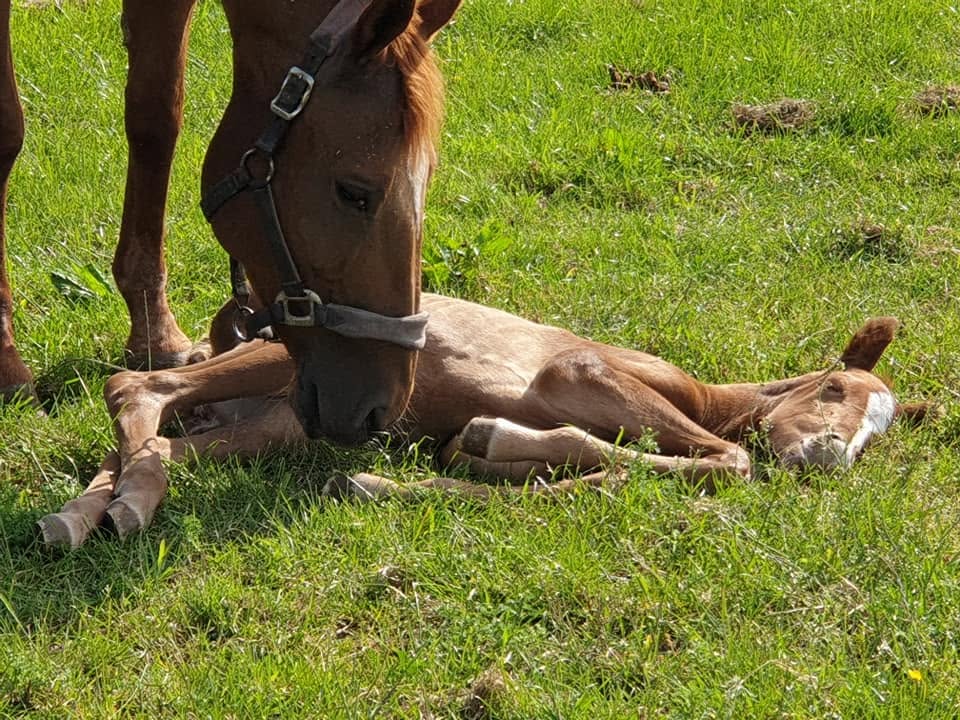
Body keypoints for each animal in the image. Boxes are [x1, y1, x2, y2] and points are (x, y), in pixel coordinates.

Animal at [0, 0, 461, 433]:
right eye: (353, 192)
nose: (382, 407)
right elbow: (9, 133)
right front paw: (8, 365)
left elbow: (157, 118)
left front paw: (156, 334)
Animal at [37, 292, 930, 547]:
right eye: (837, 390)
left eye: (877, 434)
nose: (829, 457)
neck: (703, 394)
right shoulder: (582, 370)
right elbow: (726, 461)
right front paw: (494, 440)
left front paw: (461, 458)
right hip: (291, 368)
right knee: (135, 386)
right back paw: (114, 508)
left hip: (273, 424)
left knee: (148, 447)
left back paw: (86, 517)